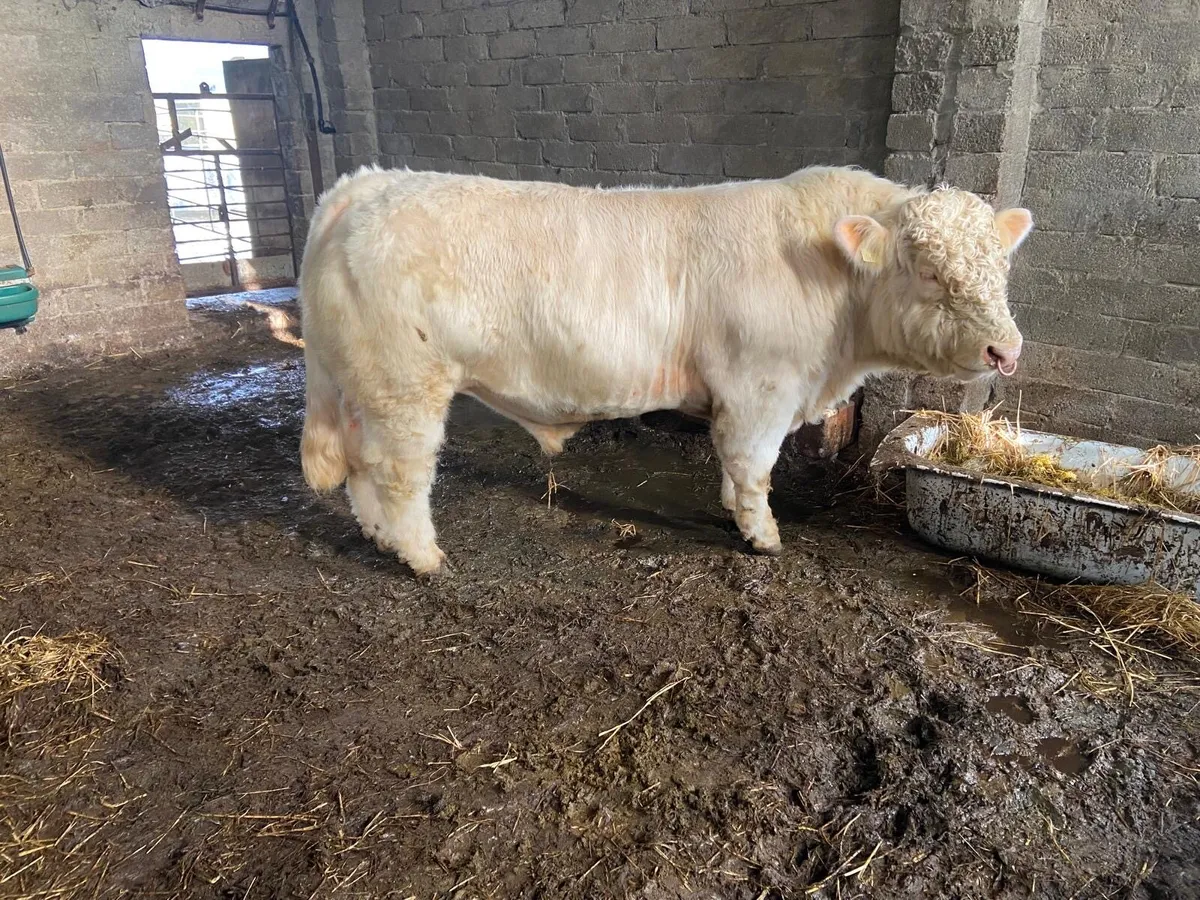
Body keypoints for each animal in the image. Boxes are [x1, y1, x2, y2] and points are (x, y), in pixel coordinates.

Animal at [298, 164, 1032, 576]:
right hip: (405, 385)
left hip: (363, 385)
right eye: (929, 271)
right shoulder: (761, 387)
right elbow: (754, 466)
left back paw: (379, 537)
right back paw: (423, 558)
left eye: (1001, 265)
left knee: (360, 463)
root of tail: (366, 184)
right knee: (399, 473)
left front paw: (735, 515)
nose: (1006, 351)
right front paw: (763, 537)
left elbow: (733, 467)